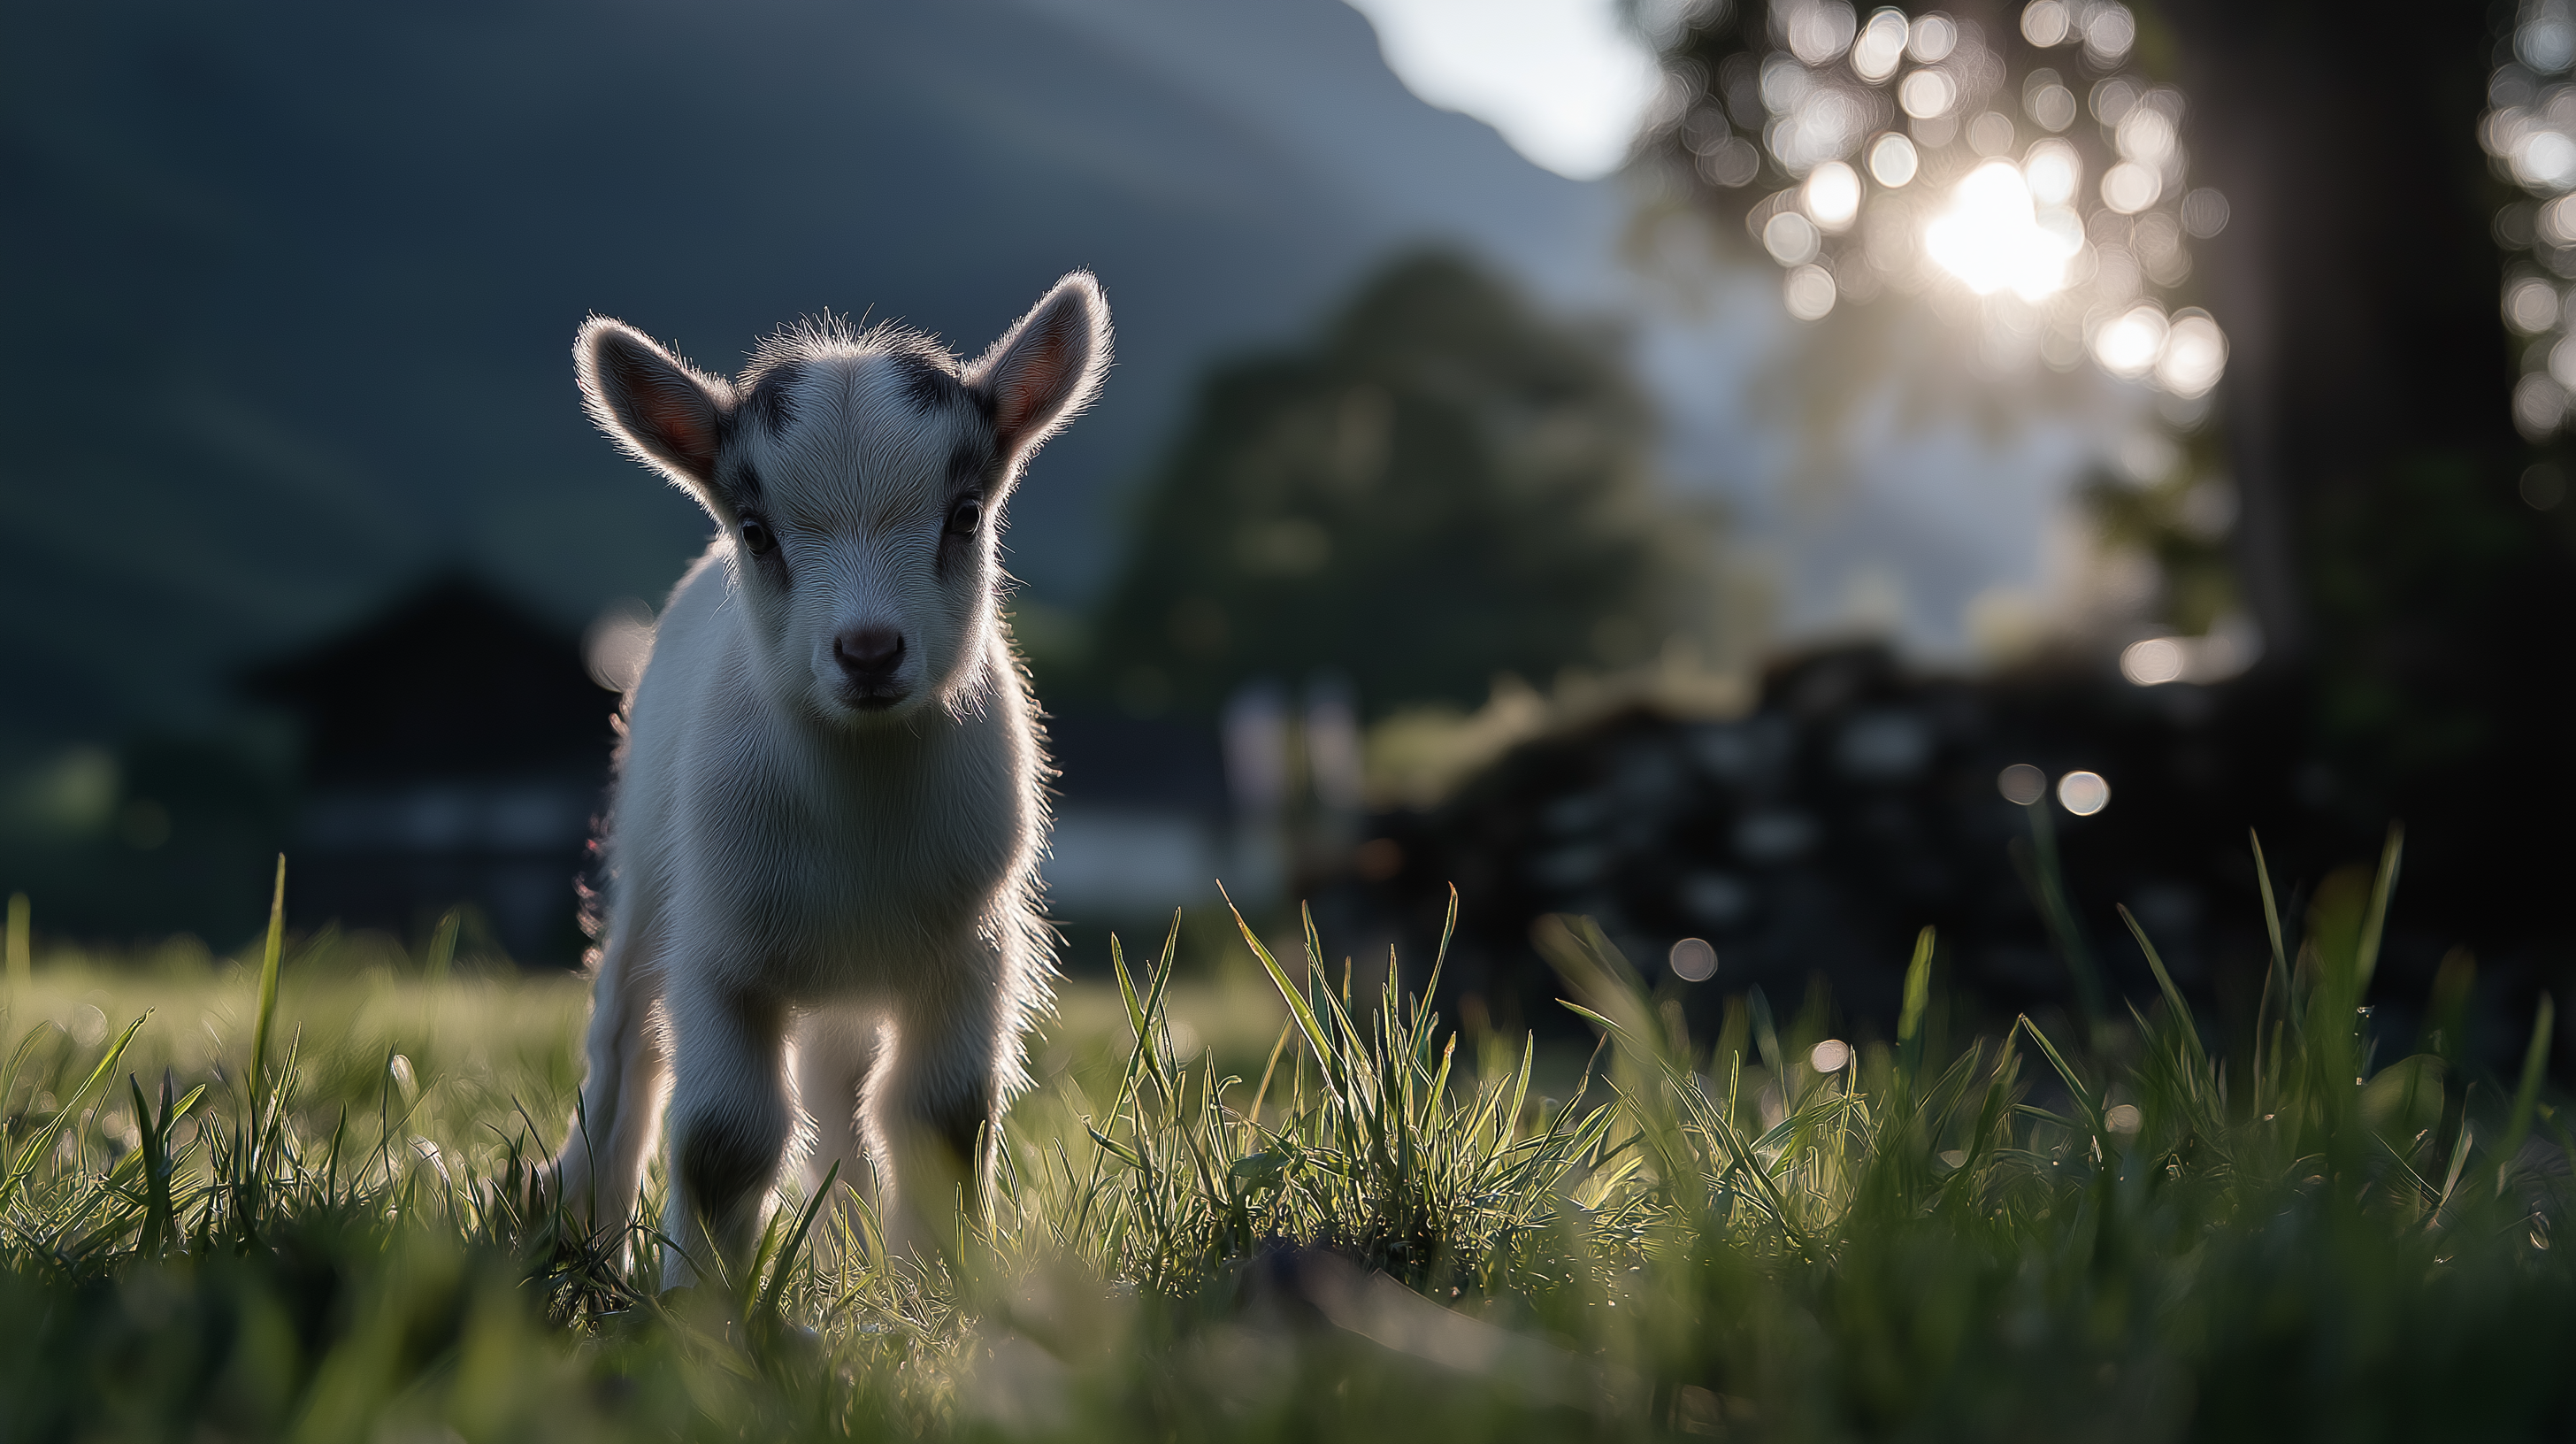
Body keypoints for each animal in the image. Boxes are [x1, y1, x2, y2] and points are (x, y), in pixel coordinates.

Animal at [549, 274, 1109, 1283]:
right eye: (756, 529)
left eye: (965, 514)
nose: (869, 651)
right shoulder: (721, 952)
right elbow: (724, 1139)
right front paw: (697, 1307)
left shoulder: (967, 952)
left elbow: (939, 1119)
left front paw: (936, 1294)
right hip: (648, 884)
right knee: (623, 1054)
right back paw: (581, 1230)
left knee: (840, 1091)